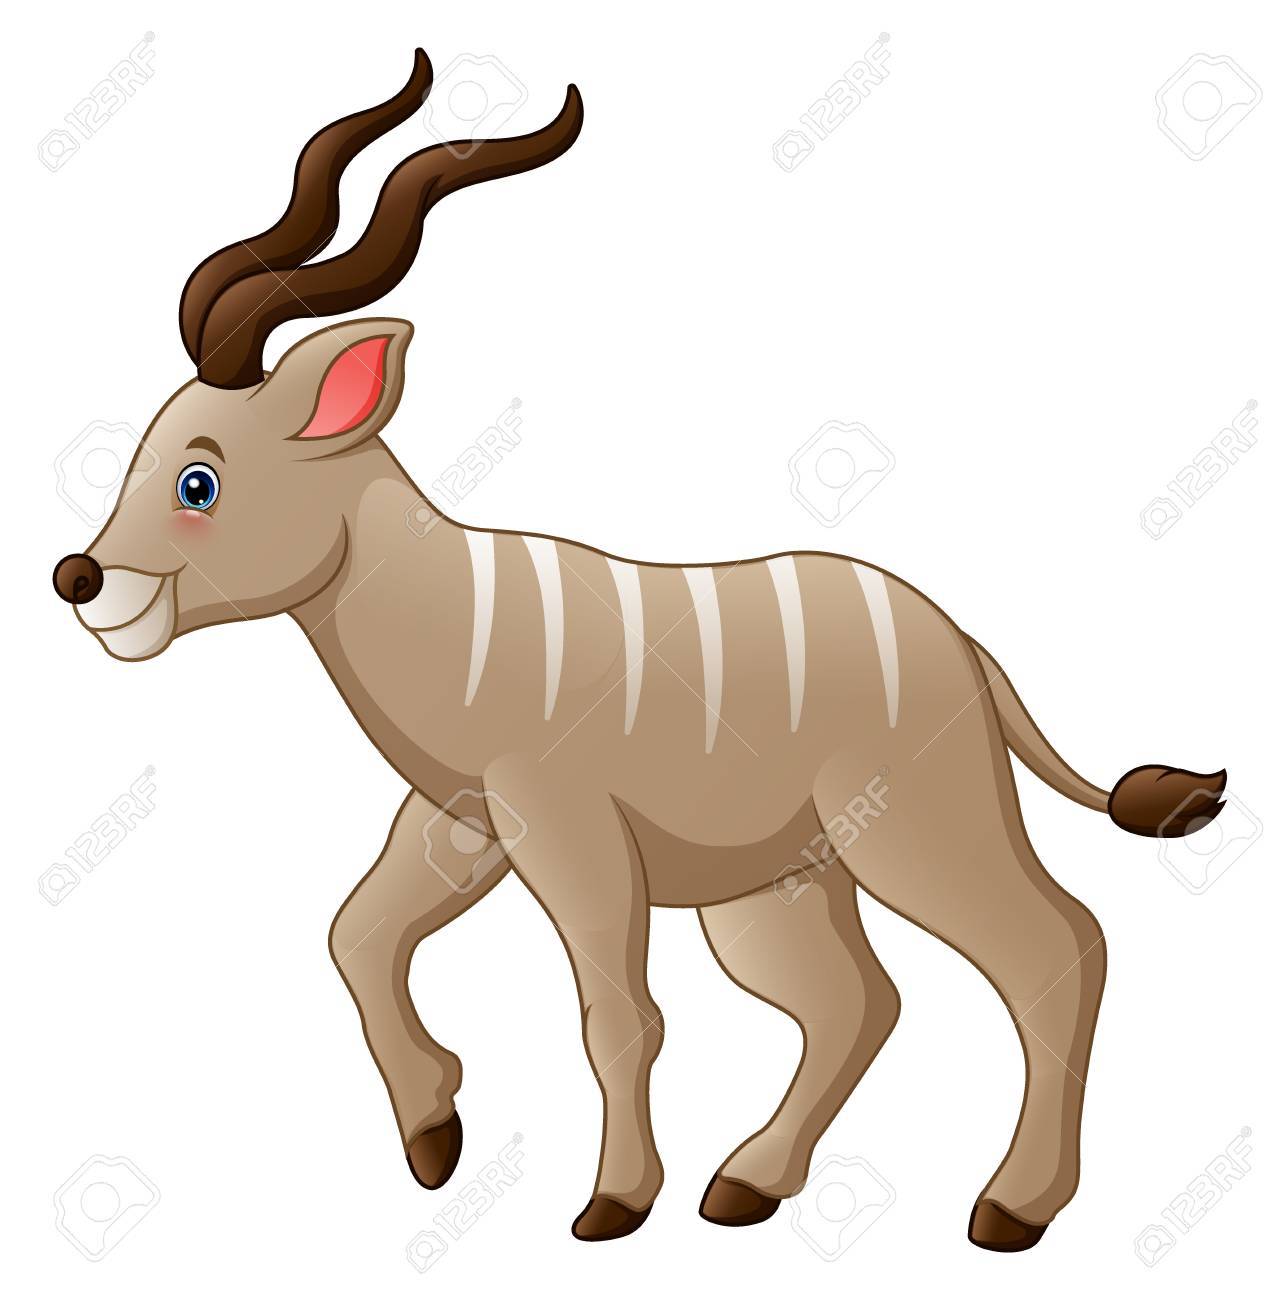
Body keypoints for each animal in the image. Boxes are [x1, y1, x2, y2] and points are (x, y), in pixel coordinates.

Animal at [54, 49, 1227, 1252]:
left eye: (199, 479)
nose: (80, 581)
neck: (456, 607)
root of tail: (967, 649)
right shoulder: (464, 822)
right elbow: (356, 935)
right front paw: (437, 1137)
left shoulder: (566, 830)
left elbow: (617, 1013)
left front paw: (611, 1202)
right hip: (775, 889)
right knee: (857, 1000)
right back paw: (746, 1185)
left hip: (914, 830)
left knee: (1056, 945)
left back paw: (1009, 1208)